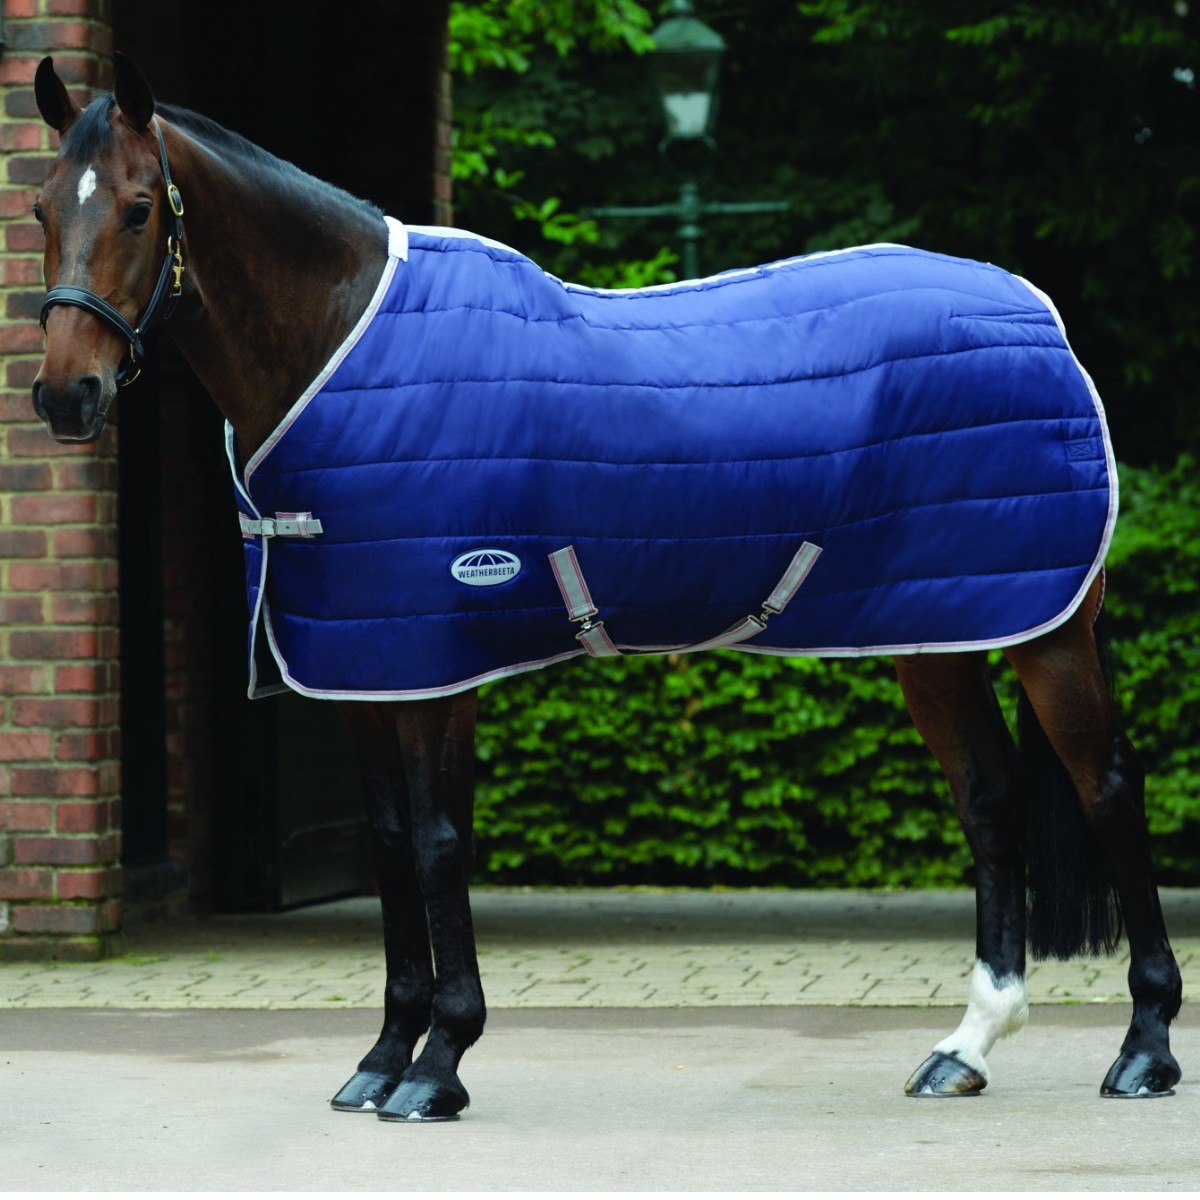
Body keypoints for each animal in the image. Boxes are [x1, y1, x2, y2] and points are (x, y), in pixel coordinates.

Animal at [30, 54, 1182, 1121]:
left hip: (1045, 634)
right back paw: (967, 1046)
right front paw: (381, 1058)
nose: (64, 395)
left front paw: (439, 1064)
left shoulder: (438, 668)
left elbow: (440, 846)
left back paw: (1145, 1047)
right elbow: (393, 848)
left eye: (138, 208)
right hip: (935, 635)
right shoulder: (362, 667)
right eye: (40, 209)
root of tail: (1039, 316)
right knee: (989, 800)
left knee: (1107, 789)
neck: (337, 346)